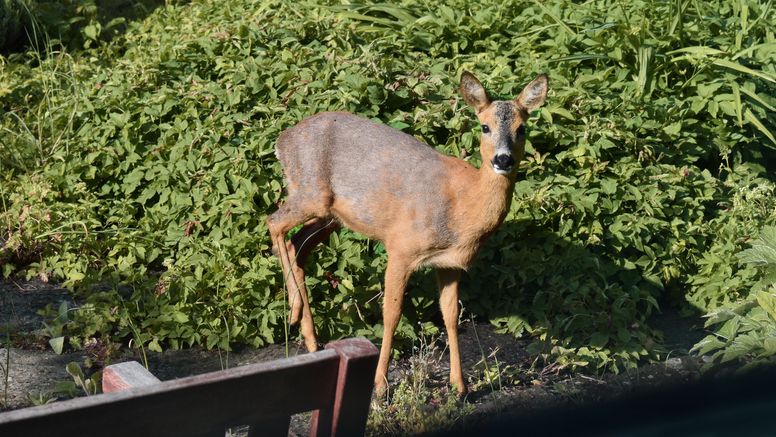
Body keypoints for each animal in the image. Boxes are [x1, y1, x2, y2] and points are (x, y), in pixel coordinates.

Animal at [270, 70, 548, 392]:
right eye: (485, 126)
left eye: (522, 128)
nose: (503, 160)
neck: (463, 207)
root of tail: (282, 141)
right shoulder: (401, 247)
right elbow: (392, 314)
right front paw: (380, 384)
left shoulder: (450, 264)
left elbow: (451, 315)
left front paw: (460, 385)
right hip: (311, 192)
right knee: (274, 223)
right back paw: (294, 310)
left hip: (331, 215)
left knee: (297, 243)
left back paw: (311, 339)